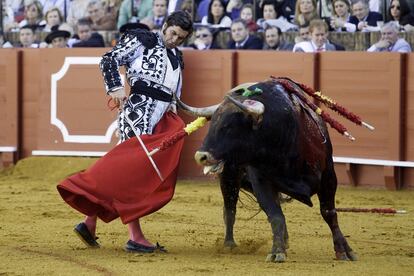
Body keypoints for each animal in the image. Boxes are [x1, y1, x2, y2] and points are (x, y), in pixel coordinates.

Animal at [180, 77, 358, 264]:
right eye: (211, 124)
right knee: (230, 209)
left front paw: (344, 251)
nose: (200, 156)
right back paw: (229, 244)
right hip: (229, 176)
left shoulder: (328, 176)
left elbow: (329, 213)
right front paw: (277, 251)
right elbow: (275, 215)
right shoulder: (261, 181)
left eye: (228, 126)